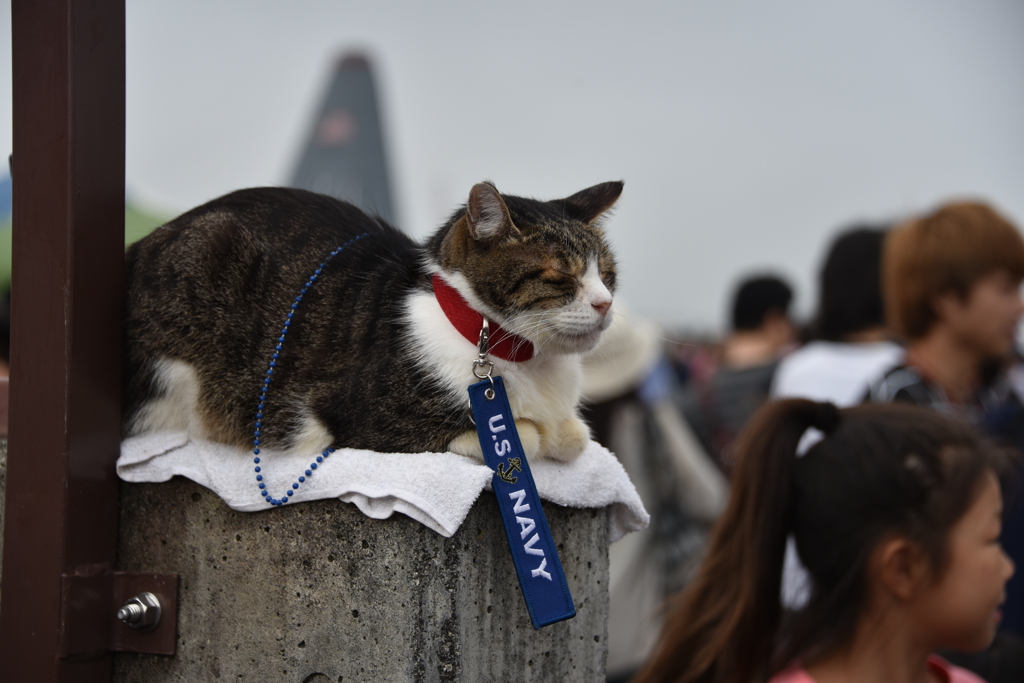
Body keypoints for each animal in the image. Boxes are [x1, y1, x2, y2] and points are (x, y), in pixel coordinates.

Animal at [125, 179, 622, 462]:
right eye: (560, 275)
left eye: (606, 273)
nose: (605, 304)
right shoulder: (355, 420)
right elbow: (524, 436)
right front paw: (532, 433)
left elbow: (575, 438)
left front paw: (563, 432)